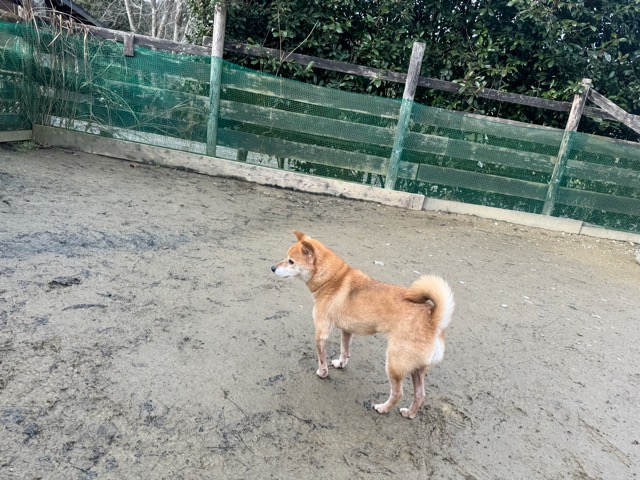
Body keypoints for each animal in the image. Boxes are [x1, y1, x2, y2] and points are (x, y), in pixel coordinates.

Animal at [271, 230, 455, 419]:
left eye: (291, 261)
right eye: (286, 258)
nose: (272, 268)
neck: (332, 278)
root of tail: (433, 319)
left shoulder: (321, 333)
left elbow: (321, 359)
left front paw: (322, 373)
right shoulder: (347, 330)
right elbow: (344, 351)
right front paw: (340, 364)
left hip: (394, 365)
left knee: (398, 393)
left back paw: (383, 408)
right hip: (417, 369)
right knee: (420, 394)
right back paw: (410, 413)